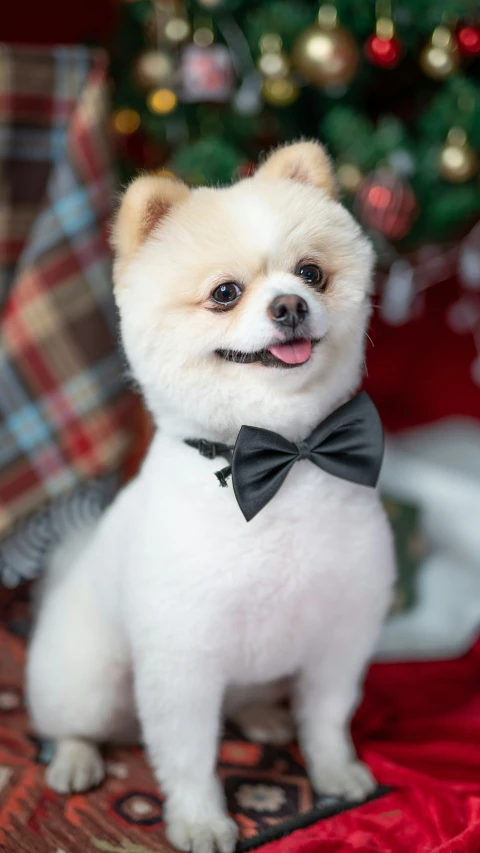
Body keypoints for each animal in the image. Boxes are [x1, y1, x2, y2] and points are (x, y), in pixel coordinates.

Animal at [25, 141, 394, 852]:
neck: (282, 458)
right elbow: (189, 755)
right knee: (68, 722)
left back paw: (265, 720)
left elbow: (327, 719)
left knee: (249, 699)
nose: (290, 306)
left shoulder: (341, 634)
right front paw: (200, 821)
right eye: (225, 293)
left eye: (311, 273)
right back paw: (76, 760)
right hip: (89, 676)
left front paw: (337, 774)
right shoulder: (183, 658)